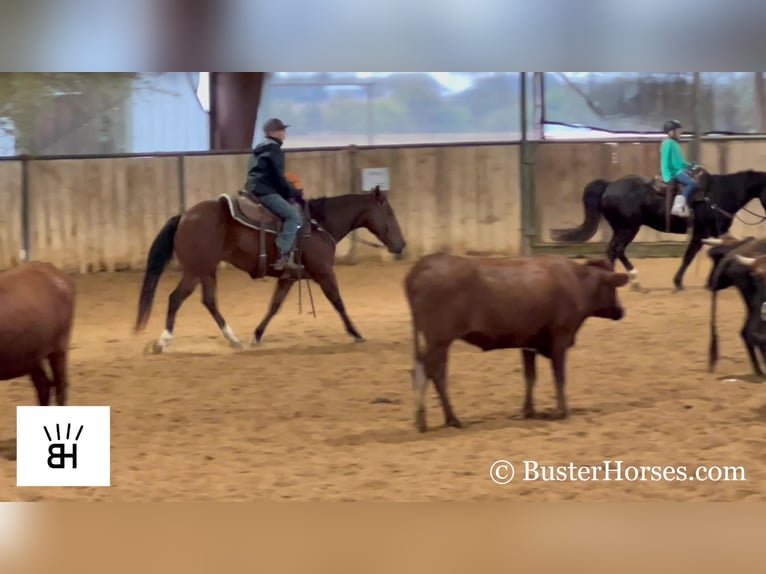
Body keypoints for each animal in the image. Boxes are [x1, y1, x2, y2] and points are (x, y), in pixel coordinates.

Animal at [134, 187, 408, 354]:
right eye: (389, 212)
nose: (401, 245)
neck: (319, 224)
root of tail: (184, 216)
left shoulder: (289, 277)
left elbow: (274, 306)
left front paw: (257, 336)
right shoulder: (324, 273)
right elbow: (338, 302)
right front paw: (356, 333)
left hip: (206, 272)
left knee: (209, 301)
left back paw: (233, 339)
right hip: (196, 271)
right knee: (176, 298)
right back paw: (162, 341)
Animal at [402, 254, 632, 434]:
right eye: (613, 288)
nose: (621, 311)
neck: (577, 282)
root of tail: (422, 266)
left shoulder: (528, 342)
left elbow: (530, 377)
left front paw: (529, 411)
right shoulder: (560, 338)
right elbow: (559, 377)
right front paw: (561, 411)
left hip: (438, 341)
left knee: (435, 373)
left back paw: (450, 419)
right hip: (438, 340)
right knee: (426, 372)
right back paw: (427, 420)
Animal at [556, 169, 766, 290]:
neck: (720, 193)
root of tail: (609, 185)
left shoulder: (716, 233)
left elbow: (721, 252)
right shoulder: (700, 233)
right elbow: (689, 256)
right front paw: (678, 282)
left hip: (620, 229)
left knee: (613, 251)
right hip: (628, 229)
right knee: (617, 250)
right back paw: (632, 280)